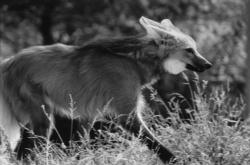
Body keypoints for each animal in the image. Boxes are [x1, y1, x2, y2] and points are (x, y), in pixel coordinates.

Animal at [0, 16, 211, 162]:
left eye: (195, 48)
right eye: (190, 50)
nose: (208, 64)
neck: (135, 63)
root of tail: (8, 62)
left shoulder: (88, 115)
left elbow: (79, 147)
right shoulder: (126, 114)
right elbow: (156, 144)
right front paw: (180, 160)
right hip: (43, 119)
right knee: (28, 154)